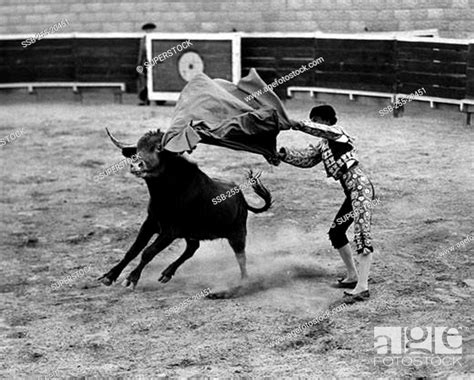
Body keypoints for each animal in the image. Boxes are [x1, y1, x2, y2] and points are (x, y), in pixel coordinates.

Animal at [98, 127, 272, 290]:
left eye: (159, 148)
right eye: (137, 149)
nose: (136, 165)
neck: (166, 193)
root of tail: (242, 198)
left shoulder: (170, 231)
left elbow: (148, 251)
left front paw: (131, 278)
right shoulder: (150, 223)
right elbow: (133, 250)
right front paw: (109, 276)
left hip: (238, 233)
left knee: (241, 256)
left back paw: (244, 282)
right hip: (193, 233)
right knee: (192, 248)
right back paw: (167, 273)